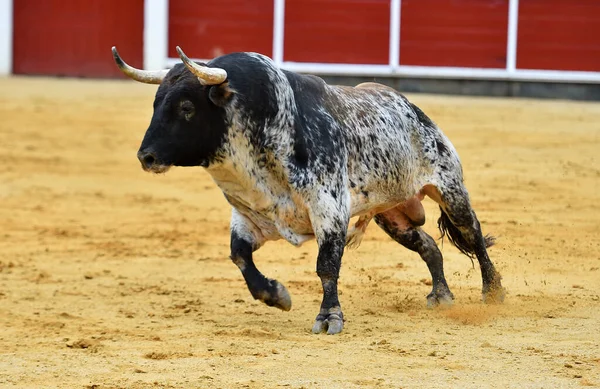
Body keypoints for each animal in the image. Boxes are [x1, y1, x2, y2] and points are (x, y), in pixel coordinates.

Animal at [112, 46, 506, 334]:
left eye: (187, 107)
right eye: (156, 103)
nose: (146, 156)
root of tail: (414, 110)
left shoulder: (329, 209)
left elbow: (326, 266)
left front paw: (329, 318)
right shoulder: (250, 215)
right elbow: (240, 256)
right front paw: (277, 296)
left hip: (450, 189)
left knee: (473, 234)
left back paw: (494, 292)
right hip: (392, 216)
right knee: (428, 246)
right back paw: (441, 295)